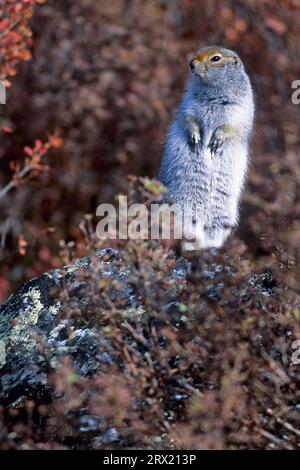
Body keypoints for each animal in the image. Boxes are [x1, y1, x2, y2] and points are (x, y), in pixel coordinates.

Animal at [158, 45, 254, 250]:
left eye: (216, 58)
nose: (191, 64)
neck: (212, 92)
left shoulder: (238, 110)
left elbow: (230, 126)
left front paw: (215, 142)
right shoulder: (188, 105)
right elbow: (189, 119)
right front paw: (196, 139)